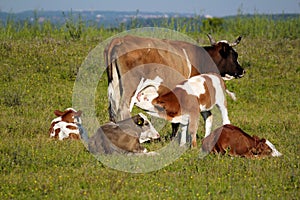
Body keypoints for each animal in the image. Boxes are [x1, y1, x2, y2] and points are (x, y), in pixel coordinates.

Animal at [105, 34, 244, 134]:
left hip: (115, 87)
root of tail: (121, 39)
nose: (242, 70)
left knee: (113, 111)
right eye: (234, 55)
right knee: (124, 109)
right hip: (131, 87)